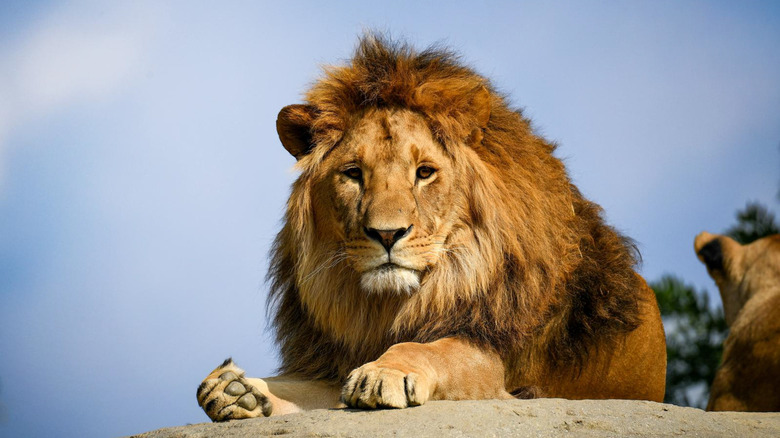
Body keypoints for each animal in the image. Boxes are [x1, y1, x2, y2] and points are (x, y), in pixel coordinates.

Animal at [196, 35, 666, 421]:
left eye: (424, 173)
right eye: (353, 174)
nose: (387, 234)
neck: (392, 306)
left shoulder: (493, 357)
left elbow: (431, 349)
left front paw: (384, 373)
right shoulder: (338, 359)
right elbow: (300, 387)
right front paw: (239, 391)